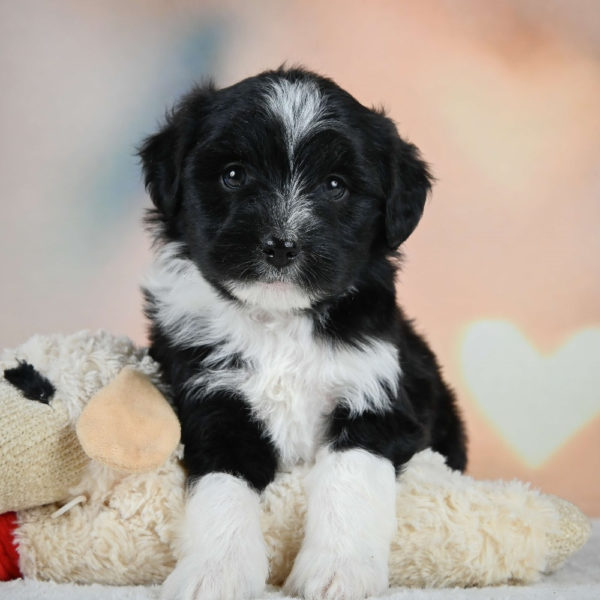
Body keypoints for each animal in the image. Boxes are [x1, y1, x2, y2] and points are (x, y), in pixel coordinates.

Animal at [138, 67, 466, 600]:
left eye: (335, 186)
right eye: (234, 175)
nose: (280, 245)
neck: (281, 322)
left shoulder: (377, 396)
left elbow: (350, 480)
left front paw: (339, 571)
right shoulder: (212, 401)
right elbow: (222, 488)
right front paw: (216, 571)